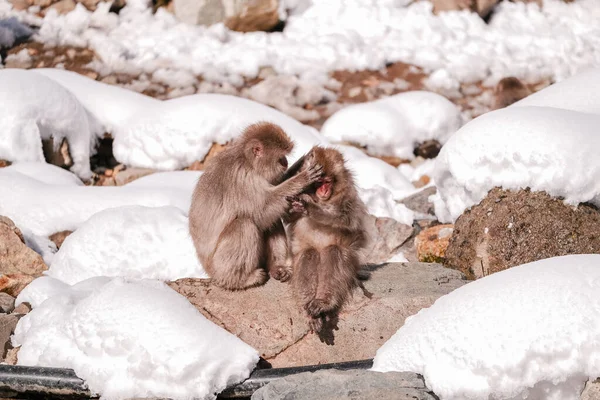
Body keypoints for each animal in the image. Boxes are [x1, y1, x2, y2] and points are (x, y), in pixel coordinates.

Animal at [191, 122, 324, 290]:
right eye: (280, 157)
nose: (286, 162)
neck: (247, 161)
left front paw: (298, 167)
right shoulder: (243, 179)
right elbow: (261, 211)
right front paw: (302, 178)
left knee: (271, 221)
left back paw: (276, 268)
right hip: (217, 266)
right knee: (245, 224)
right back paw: (240, 280)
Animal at [284, 146, 368, 334]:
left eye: (327, 182)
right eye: (318, 183)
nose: (323, 191)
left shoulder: (349, 193)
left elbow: (347, 219)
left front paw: (309, 207)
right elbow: (286, 217)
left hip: (351, 264)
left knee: (334, 252)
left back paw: (323, 303)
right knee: (309, 254)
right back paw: (310, 309)